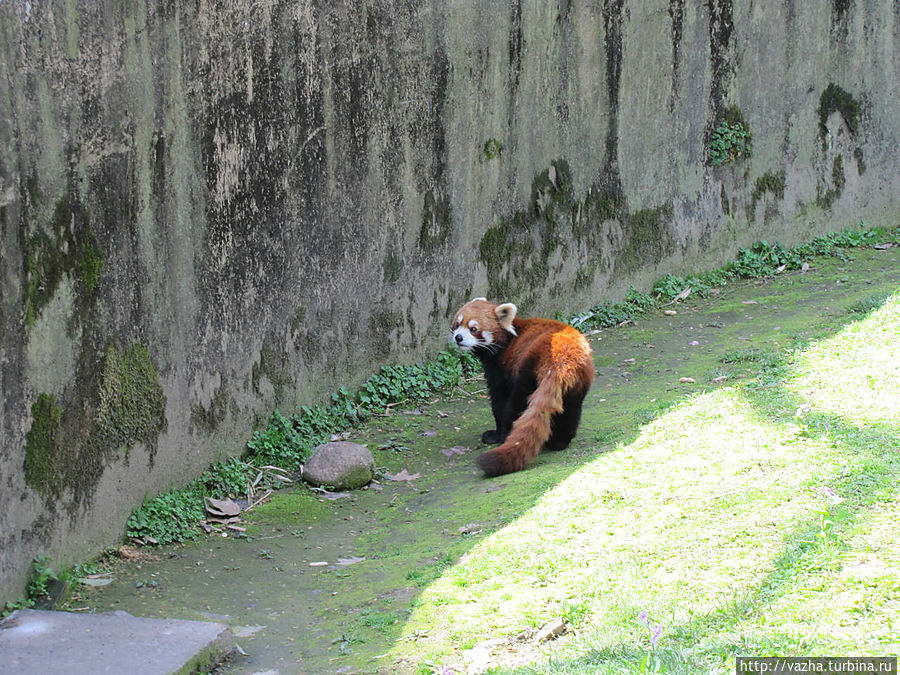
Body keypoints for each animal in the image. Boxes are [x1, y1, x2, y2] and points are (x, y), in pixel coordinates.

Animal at [454, 298, 596, 478]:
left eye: (473, 329)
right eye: (457, 324)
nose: (458, 337)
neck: (508, 339)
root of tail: (561, 359)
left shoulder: (500, 368)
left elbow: (498, 401)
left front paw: (495, 434)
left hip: (528, 370)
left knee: (516, 405)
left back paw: (504, 436)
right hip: (578, 383)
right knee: (571, 410)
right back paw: (559, 442)